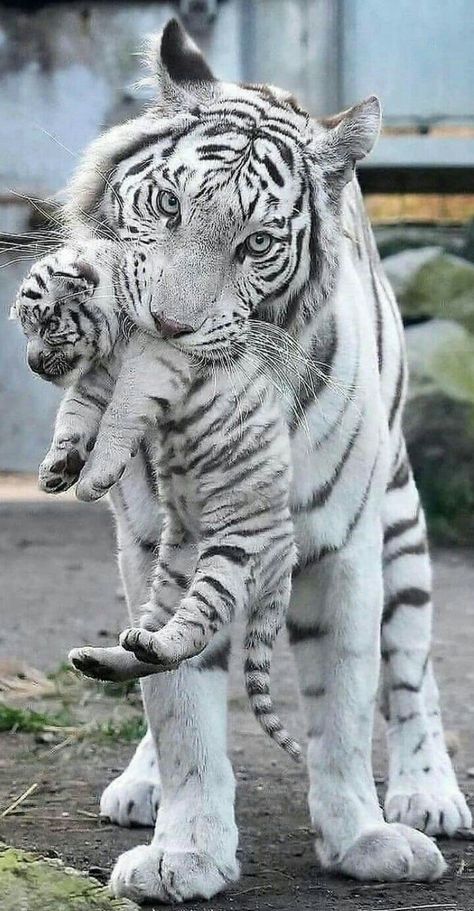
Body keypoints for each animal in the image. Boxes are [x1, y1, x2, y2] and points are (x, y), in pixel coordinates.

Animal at [12, 19, 468, 904]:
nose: (167, 324)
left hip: (400, 527)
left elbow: (345, 702)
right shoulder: (154, 541)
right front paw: (184, 848)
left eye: (256, 243)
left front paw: (361, 836)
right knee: (155, 648)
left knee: (412, 669)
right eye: (168, 204)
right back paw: (143, 781)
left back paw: (428, 791)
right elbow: (180, 706)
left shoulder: (344, 550)